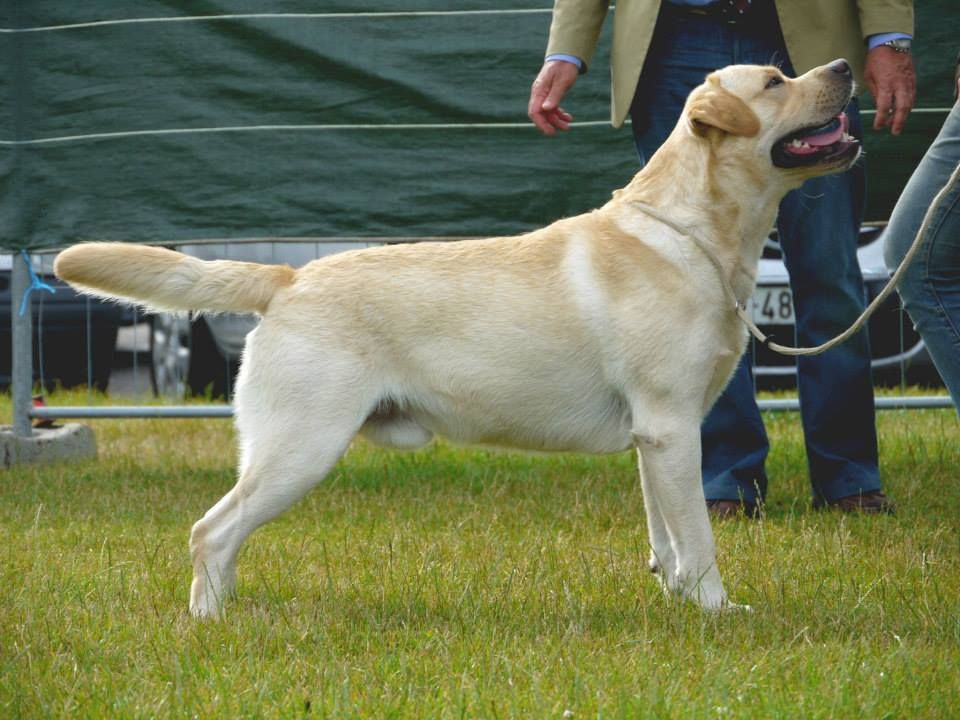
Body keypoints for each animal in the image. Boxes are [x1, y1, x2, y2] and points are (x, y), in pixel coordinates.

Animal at [55, 60, 860, 618]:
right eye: (775, 81)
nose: (846, 67)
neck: (691, 233)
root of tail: (288, 277)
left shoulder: (656, 438)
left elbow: (667, 539)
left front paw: (680, 606)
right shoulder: (671, 427)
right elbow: (699, 538)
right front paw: (720, 613)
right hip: (300, 447)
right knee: (210, 531)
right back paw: (210, 624)